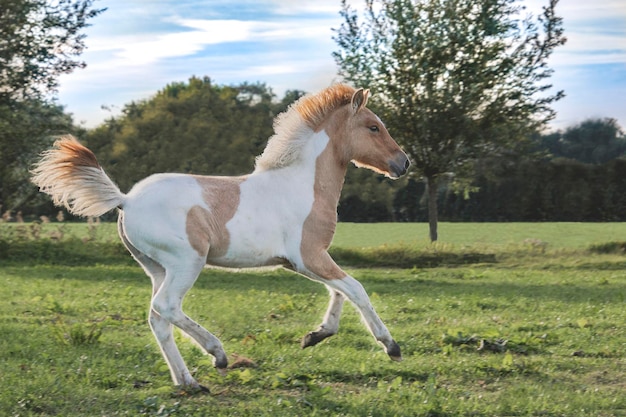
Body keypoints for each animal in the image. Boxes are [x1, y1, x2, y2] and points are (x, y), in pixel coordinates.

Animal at [31, 84, 410, 390]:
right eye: (373, 126)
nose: (403, 162)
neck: (302, 184)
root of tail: (127, 199)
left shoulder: (304, 261)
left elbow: (338, 291)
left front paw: (314, 336)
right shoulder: (308, 257)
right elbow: (355, 289)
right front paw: (391, 346)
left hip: (156, 268)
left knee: (157, 319)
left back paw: (189, 383)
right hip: (186, 262)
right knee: (166, 307)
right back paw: (218, 355)